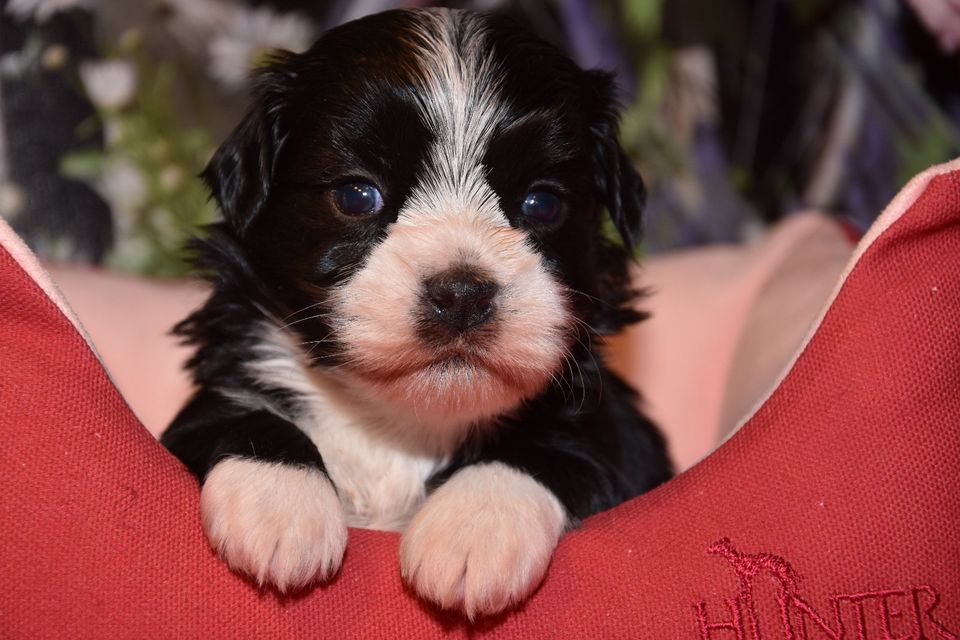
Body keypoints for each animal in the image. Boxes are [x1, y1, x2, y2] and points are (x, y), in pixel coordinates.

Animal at [161, 7, 672, 620]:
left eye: (542, 203)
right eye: (357, 195)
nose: (462, 294)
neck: (400, 424)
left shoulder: (617, 438)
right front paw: (279, 502)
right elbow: (240, 416)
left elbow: (556, 449)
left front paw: (473, 527)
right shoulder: (223, 381)